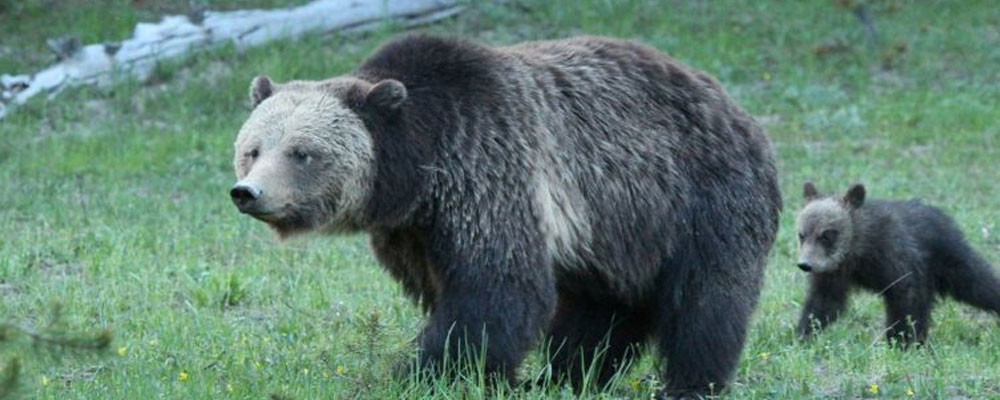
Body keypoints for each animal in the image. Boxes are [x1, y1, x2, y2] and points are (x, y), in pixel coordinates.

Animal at [229, 32, 780, 396]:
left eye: (302, 152)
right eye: (253, 149)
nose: (248, 192)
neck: (418, 167)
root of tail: (734, 107)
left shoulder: (490, 171)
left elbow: (495, 289)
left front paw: (427, 373)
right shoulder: (413, 231)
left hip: (698, 198)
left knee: (706, 302)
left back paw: (689, 382)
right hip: (617, 231)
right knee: (602, 308)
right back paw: (565, 376)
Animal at [796, 183, 1000, 346]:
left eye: (826, 234)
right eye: (802, 235)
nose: (805, 264)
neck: (858, 249)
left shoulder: (898, 260)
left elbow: (905, 303)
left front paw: (901, 341)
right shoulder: (834, 271)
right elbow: (824, 302)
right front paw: (803, 334)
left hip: (949, 259)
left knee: (979, 285)